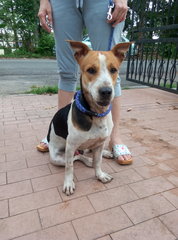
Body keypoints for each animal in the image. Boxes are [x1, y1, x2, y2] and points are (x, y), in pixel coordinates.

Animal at [46, 40, 131, 195]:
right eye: (91, 70)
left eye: (113, 70)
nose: (106, 91)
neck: (96, 114)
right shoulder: (70, 146)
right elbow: (69, 167)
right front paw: (68, 183)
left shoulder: (100, 142)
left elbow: (98, 162)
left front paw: (100, 175)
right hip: (57, 157)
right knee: (77, 157)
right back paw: (88, 160)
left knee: (87, 154)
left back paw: (105, 154)